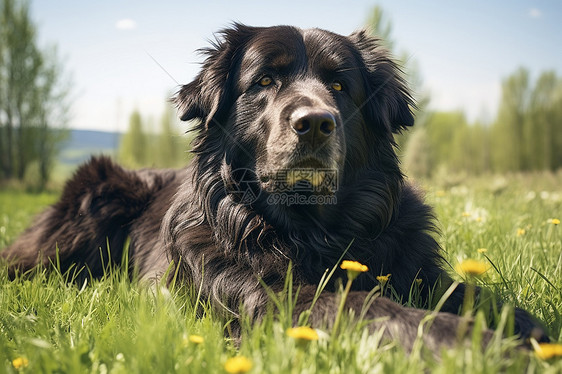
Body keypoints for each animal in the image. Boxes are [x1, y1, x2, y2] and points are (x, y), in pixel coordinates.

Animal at [1, 24, 548, 352]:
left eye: (340, 86)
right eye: (263, 81)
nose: (315, 123)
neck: (315, 231)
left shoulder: (418, 268)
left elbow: (472, 293)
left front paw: (521, 328)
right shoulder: (267, 296)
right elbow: (358, 303)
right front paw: (464, 339)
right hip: (95, 197)